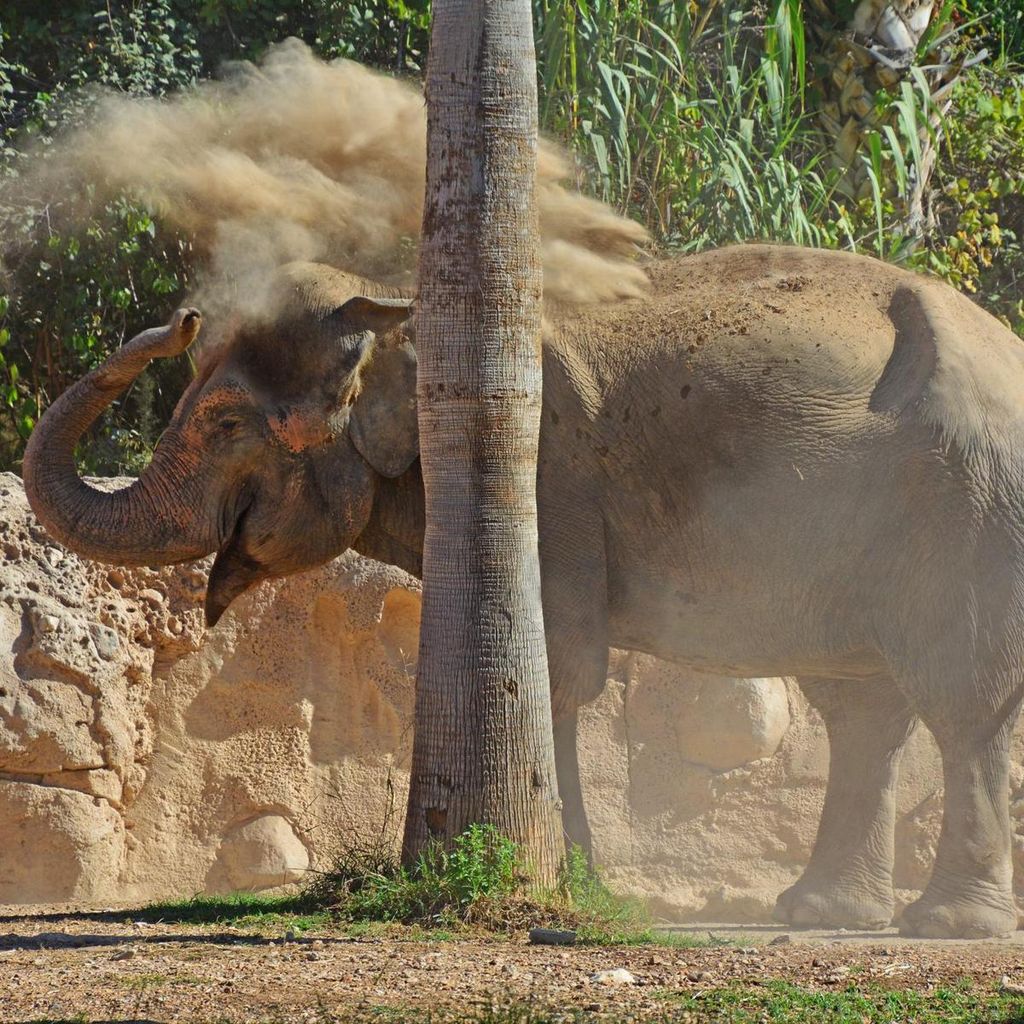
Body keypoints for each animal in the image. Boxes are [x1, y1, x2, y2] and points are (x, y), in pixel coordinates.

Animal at [22, 241, 1024, 937]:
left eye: (227, 423)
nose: (183, 317)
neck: (404, 299)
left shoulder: (547, 482)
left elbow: (563, 670)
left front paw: (574, 885)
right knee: (865, 709)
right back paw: (820, 914)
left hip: (963, 510)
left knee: (956, 702)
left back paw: (943, 925)